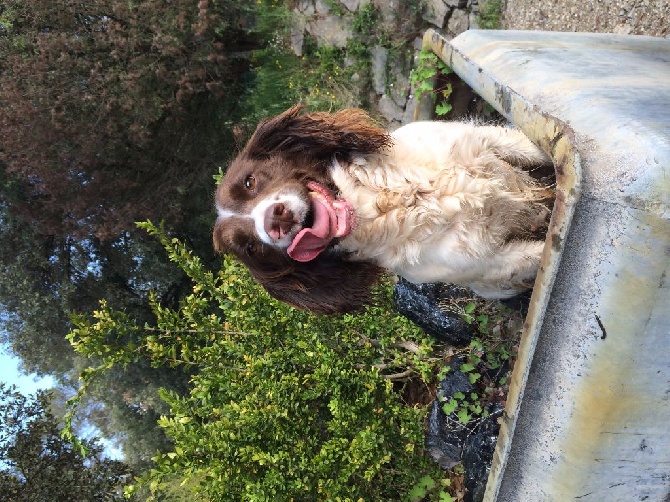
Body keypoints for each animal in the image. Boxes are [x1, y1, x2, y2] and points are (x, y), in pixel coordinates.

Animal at [215, 104, 556, 314]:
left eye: (250, 182)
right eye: (251, 248)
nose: (274, 221)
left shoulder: (482, 140)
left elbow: (529, 148)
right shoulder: (491, 261)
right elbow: (539, 255)